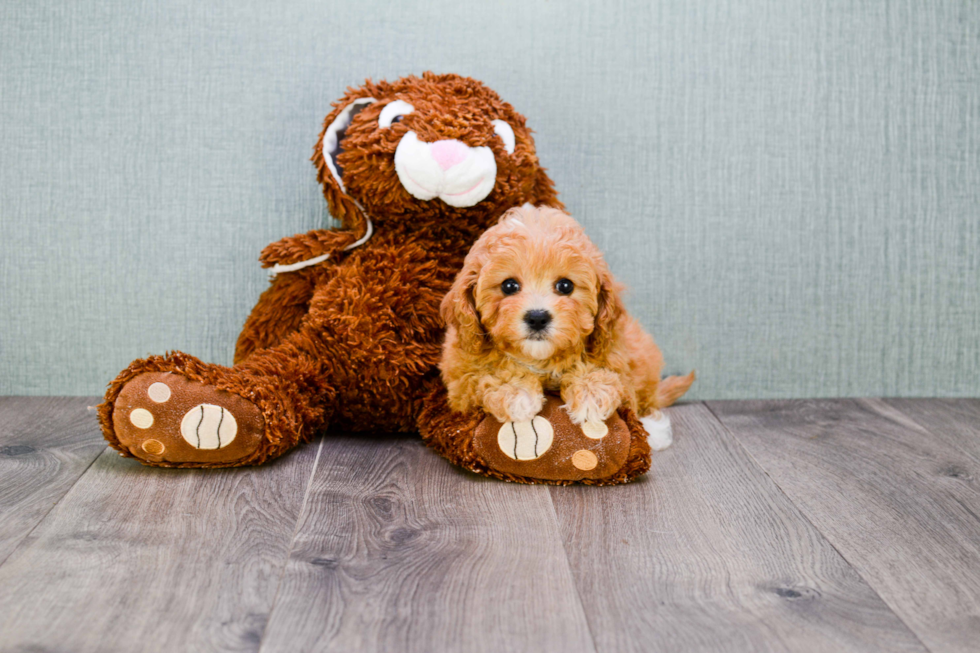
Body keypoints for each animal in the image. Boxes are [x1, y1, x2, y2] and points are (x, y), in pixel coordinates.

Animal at [440, 206, 692, 450]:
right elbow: (485, 374)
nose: (537, 318)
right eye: (509, 286)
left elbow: (609, 375)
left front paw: (592, 392)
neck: (541, 360)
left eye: (565, 286)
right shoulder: (461, 382)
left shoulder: (615, 352)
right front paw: (517, 393)